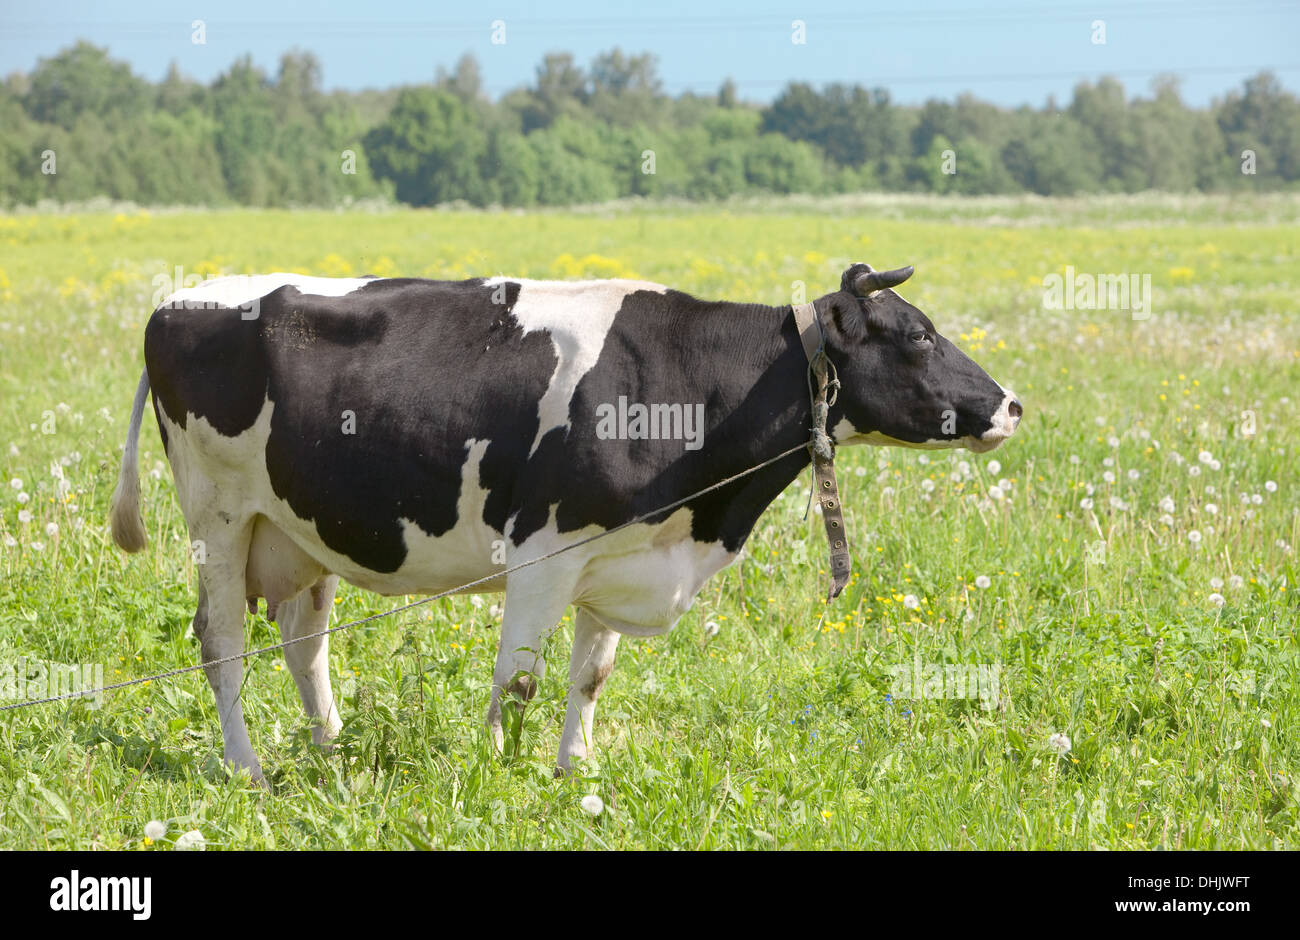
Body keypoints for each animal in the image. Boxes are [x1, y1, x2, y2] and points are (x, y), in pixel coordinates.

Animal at [108, 262, 1020, 784]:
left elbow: (590, 677)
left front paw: (574, 772)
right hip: (220, 517)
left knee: (304, 644)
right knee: (221, 644)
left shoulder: (617, 556)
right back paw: (246, 770)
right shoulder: (544, 552)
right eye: (918, 336)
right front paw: (495, 775)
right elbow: (518, 677)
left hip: (297, 528)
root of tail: (179, 299)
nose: (1011, 404)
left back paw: (332, 751)